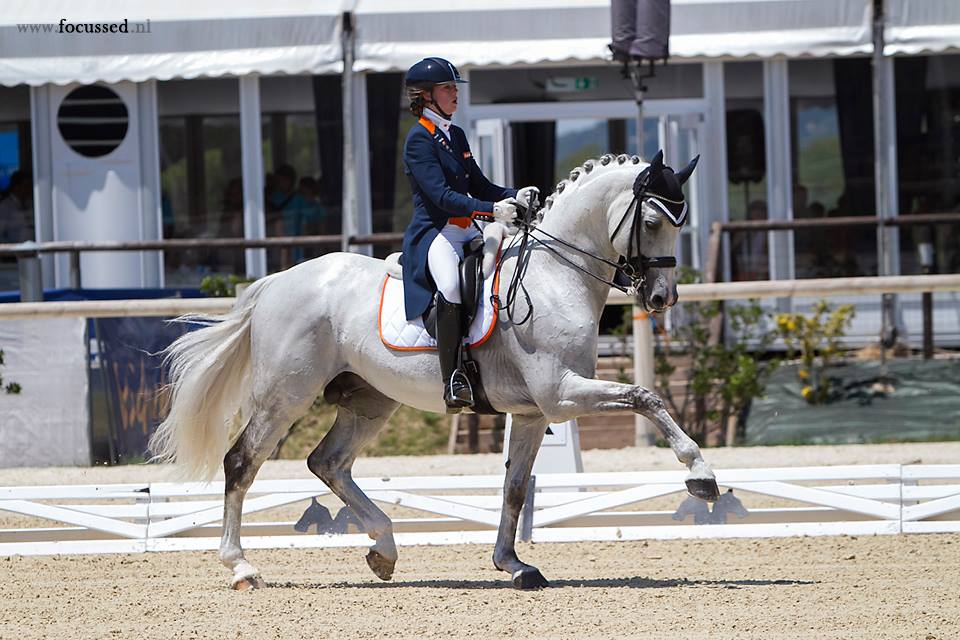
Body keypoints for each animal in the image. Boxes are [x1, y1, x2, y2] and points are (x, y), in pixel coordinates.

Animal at [152, 150, 720, 592]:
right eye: (652, 223)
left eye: (681, 222)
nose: (662, 298)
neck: (555, 276)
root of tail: (278, 281)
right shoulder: (561, 394)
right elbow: (646, 396)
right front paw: (701, 475)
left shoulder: (534, 413)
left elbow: (516, 488)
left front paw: (513, 565)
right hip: (284, 397)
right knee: (242, 462)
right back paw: (242, 568)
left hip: (369, 400)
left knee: (328, 463)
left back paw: (383, 549)